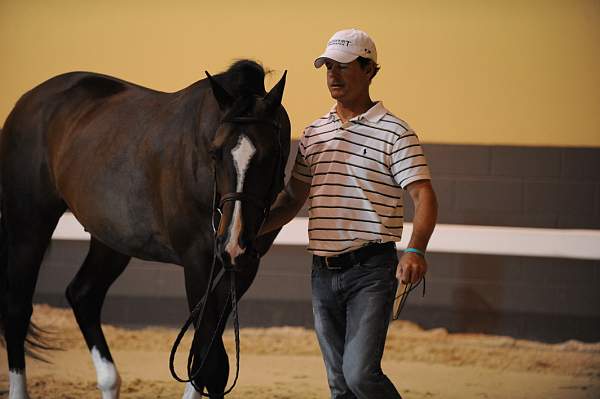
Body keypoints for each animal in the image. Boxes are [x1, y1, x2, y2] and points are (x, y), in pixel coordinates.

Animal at [0, 60, 290, 399]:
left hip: (111, 239)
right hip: (29, 225)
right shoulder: (197, 263)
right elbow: (213, 366)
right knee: (17, 309)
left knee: (83, 295)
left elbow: (201, 357)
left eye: (272, 154)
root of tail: (27, 101)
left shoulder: (243, 268)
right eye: (214, 152)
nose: (233, 241)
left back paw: (109, 382)